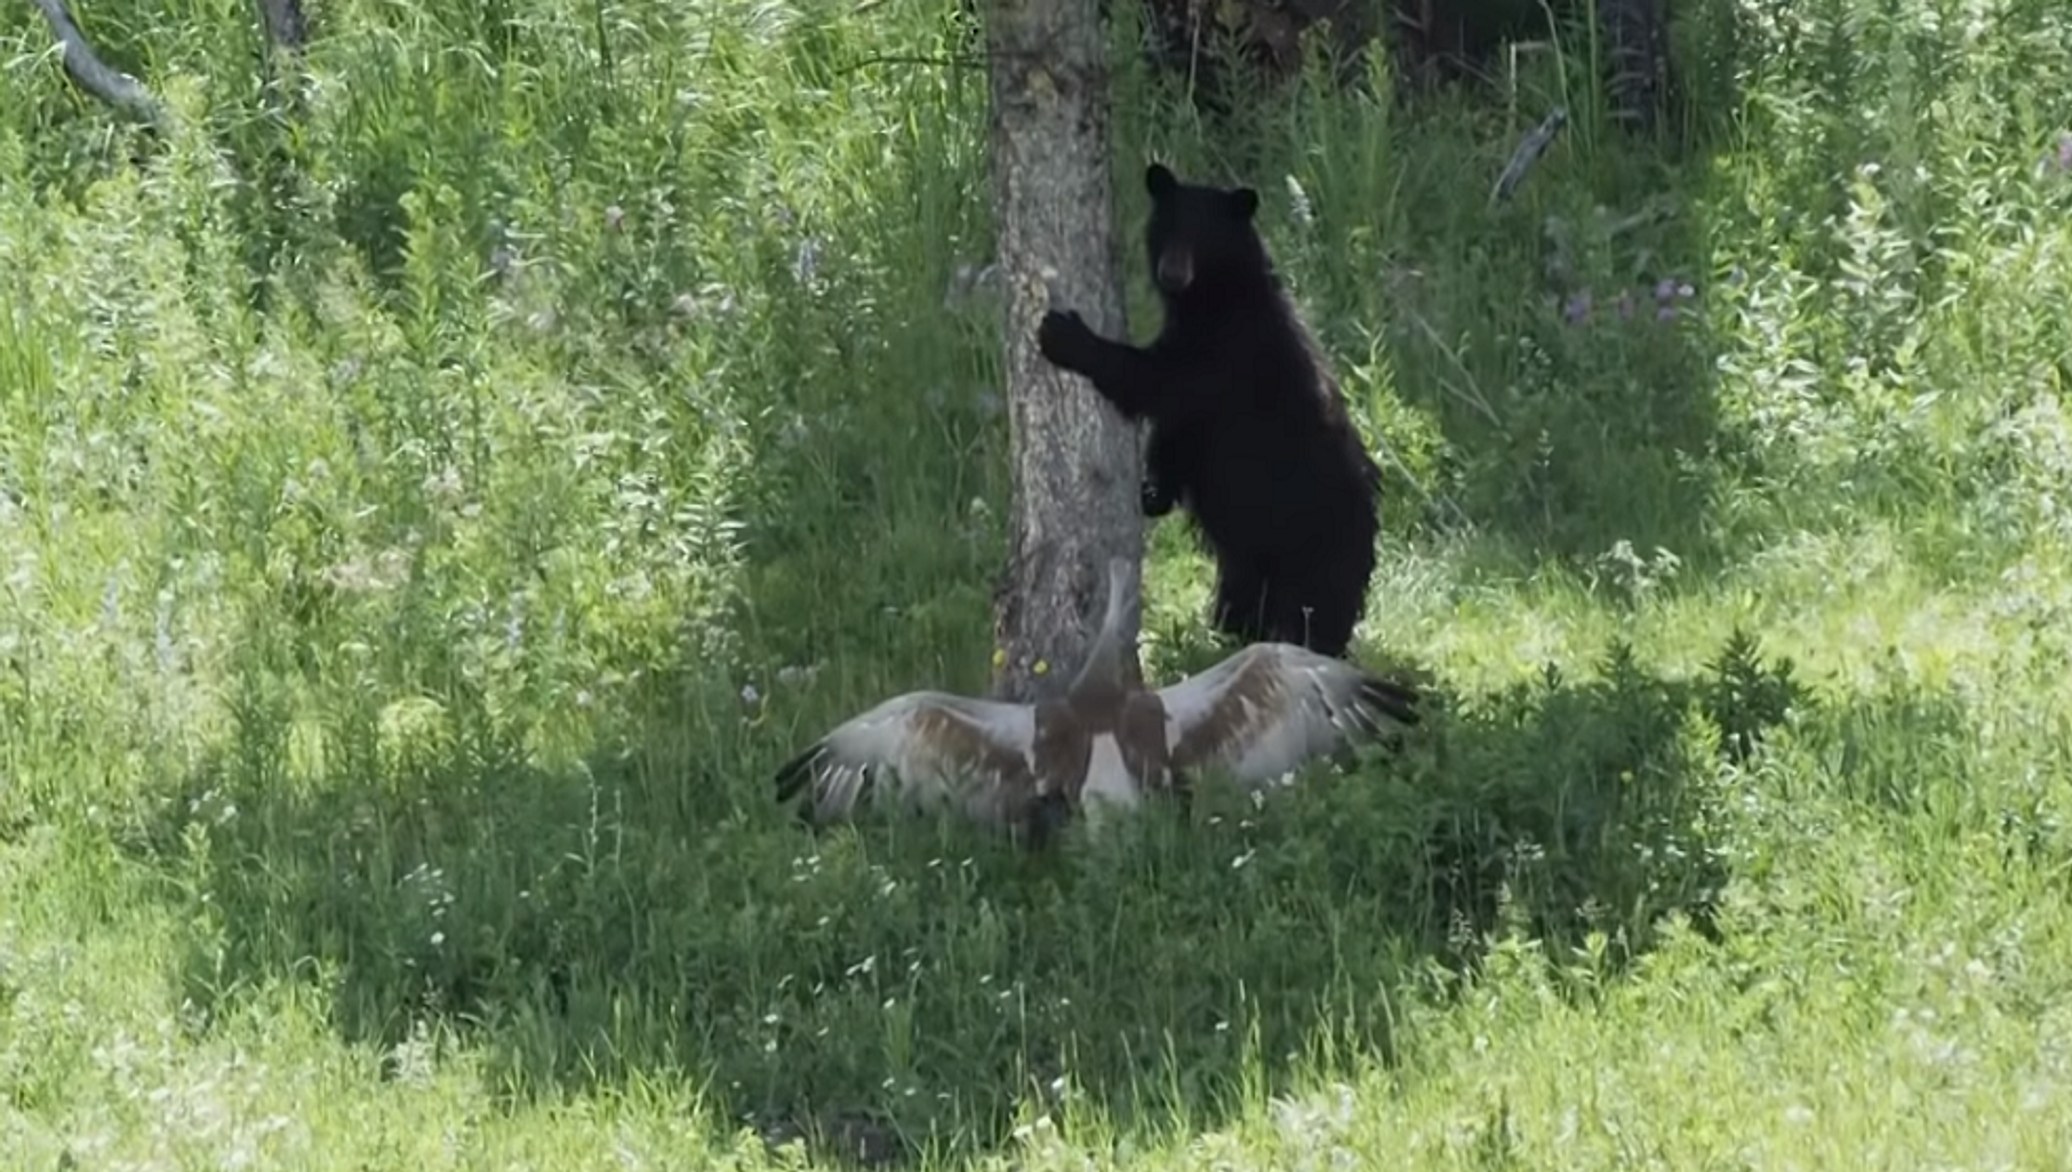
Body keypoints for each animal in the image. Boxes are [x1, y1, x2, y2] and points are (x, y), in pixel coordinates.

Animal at [1031, 163, 1375, 662]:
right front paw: (1153, 491)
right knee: (1243, 588)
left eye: (1205, 237)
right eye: (1169, 227)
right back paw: (1231, 628)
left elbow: (1157, 381)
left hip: (1316, 542)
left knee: (1314, 607)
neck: (1215, 298)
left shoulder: (1230, 352)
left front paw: (1064, 334)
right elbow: (1176, 431)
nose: (1172, 271)